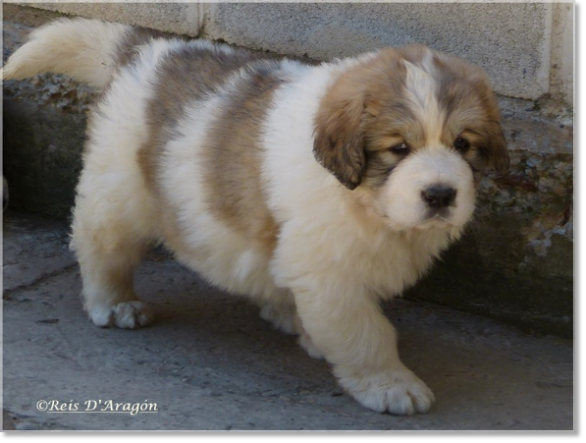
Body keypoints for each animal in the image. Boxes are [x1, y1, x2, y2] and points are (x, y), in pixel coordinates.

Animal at [3, 18, 506, 416]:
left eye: (463, 144)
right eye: (399, 148)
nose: (440, 194)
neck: (364, 200)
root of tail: (143, 51)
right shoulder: (329, 271)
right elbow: (365, 330)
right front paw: (391, 383)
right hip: (118, 192)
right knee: (102, 247)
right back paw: (115, 303)